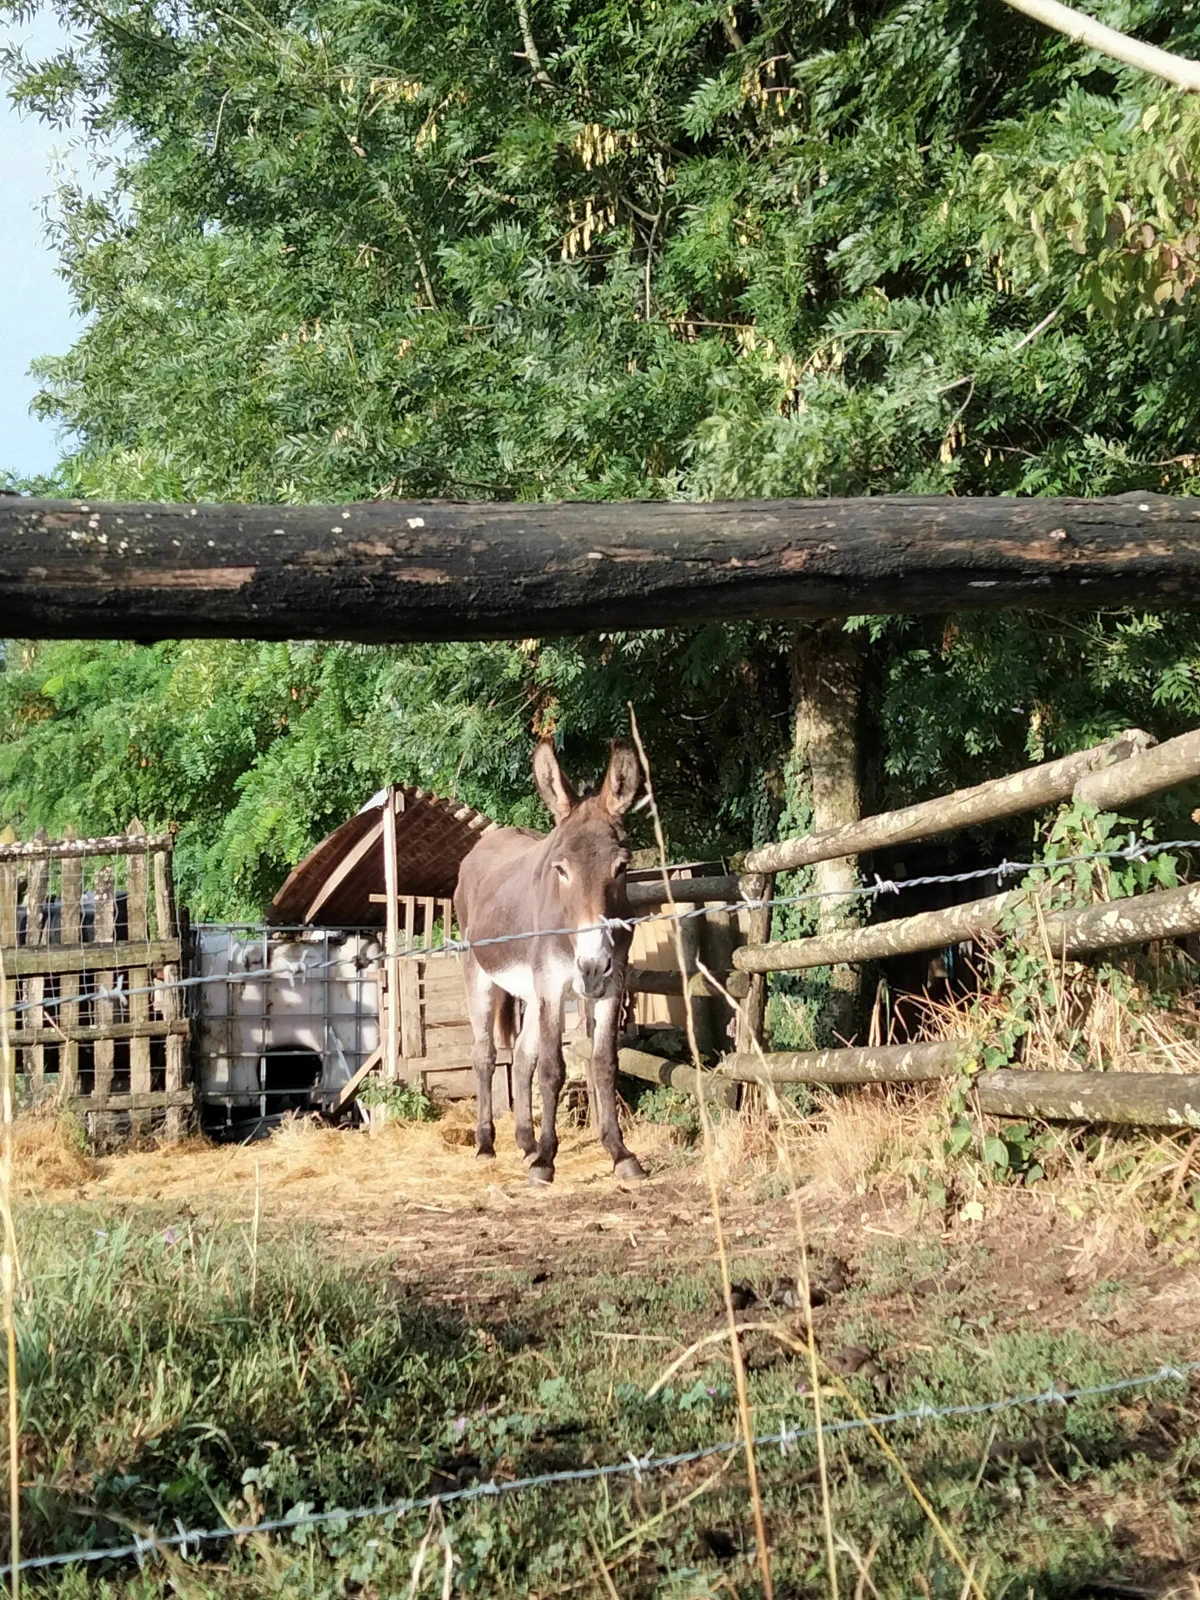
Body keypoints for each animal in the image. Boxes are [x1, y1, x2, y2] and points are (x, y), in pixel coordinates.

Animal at [454, 738, 648, 1186]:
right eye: (561, 870)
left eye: (622, 867)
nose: (590, 965)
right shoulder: (554, 986)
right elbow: (553, 1068)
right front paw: (547, 1160)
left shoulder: (612, 985)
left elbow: (603, 1063)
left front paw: (620, 1153)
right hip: (481, 974)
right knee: (485, 1055)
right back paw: (487, 1145)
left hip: (530, 991)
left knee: (523, 1056)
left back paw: (525, 1142)